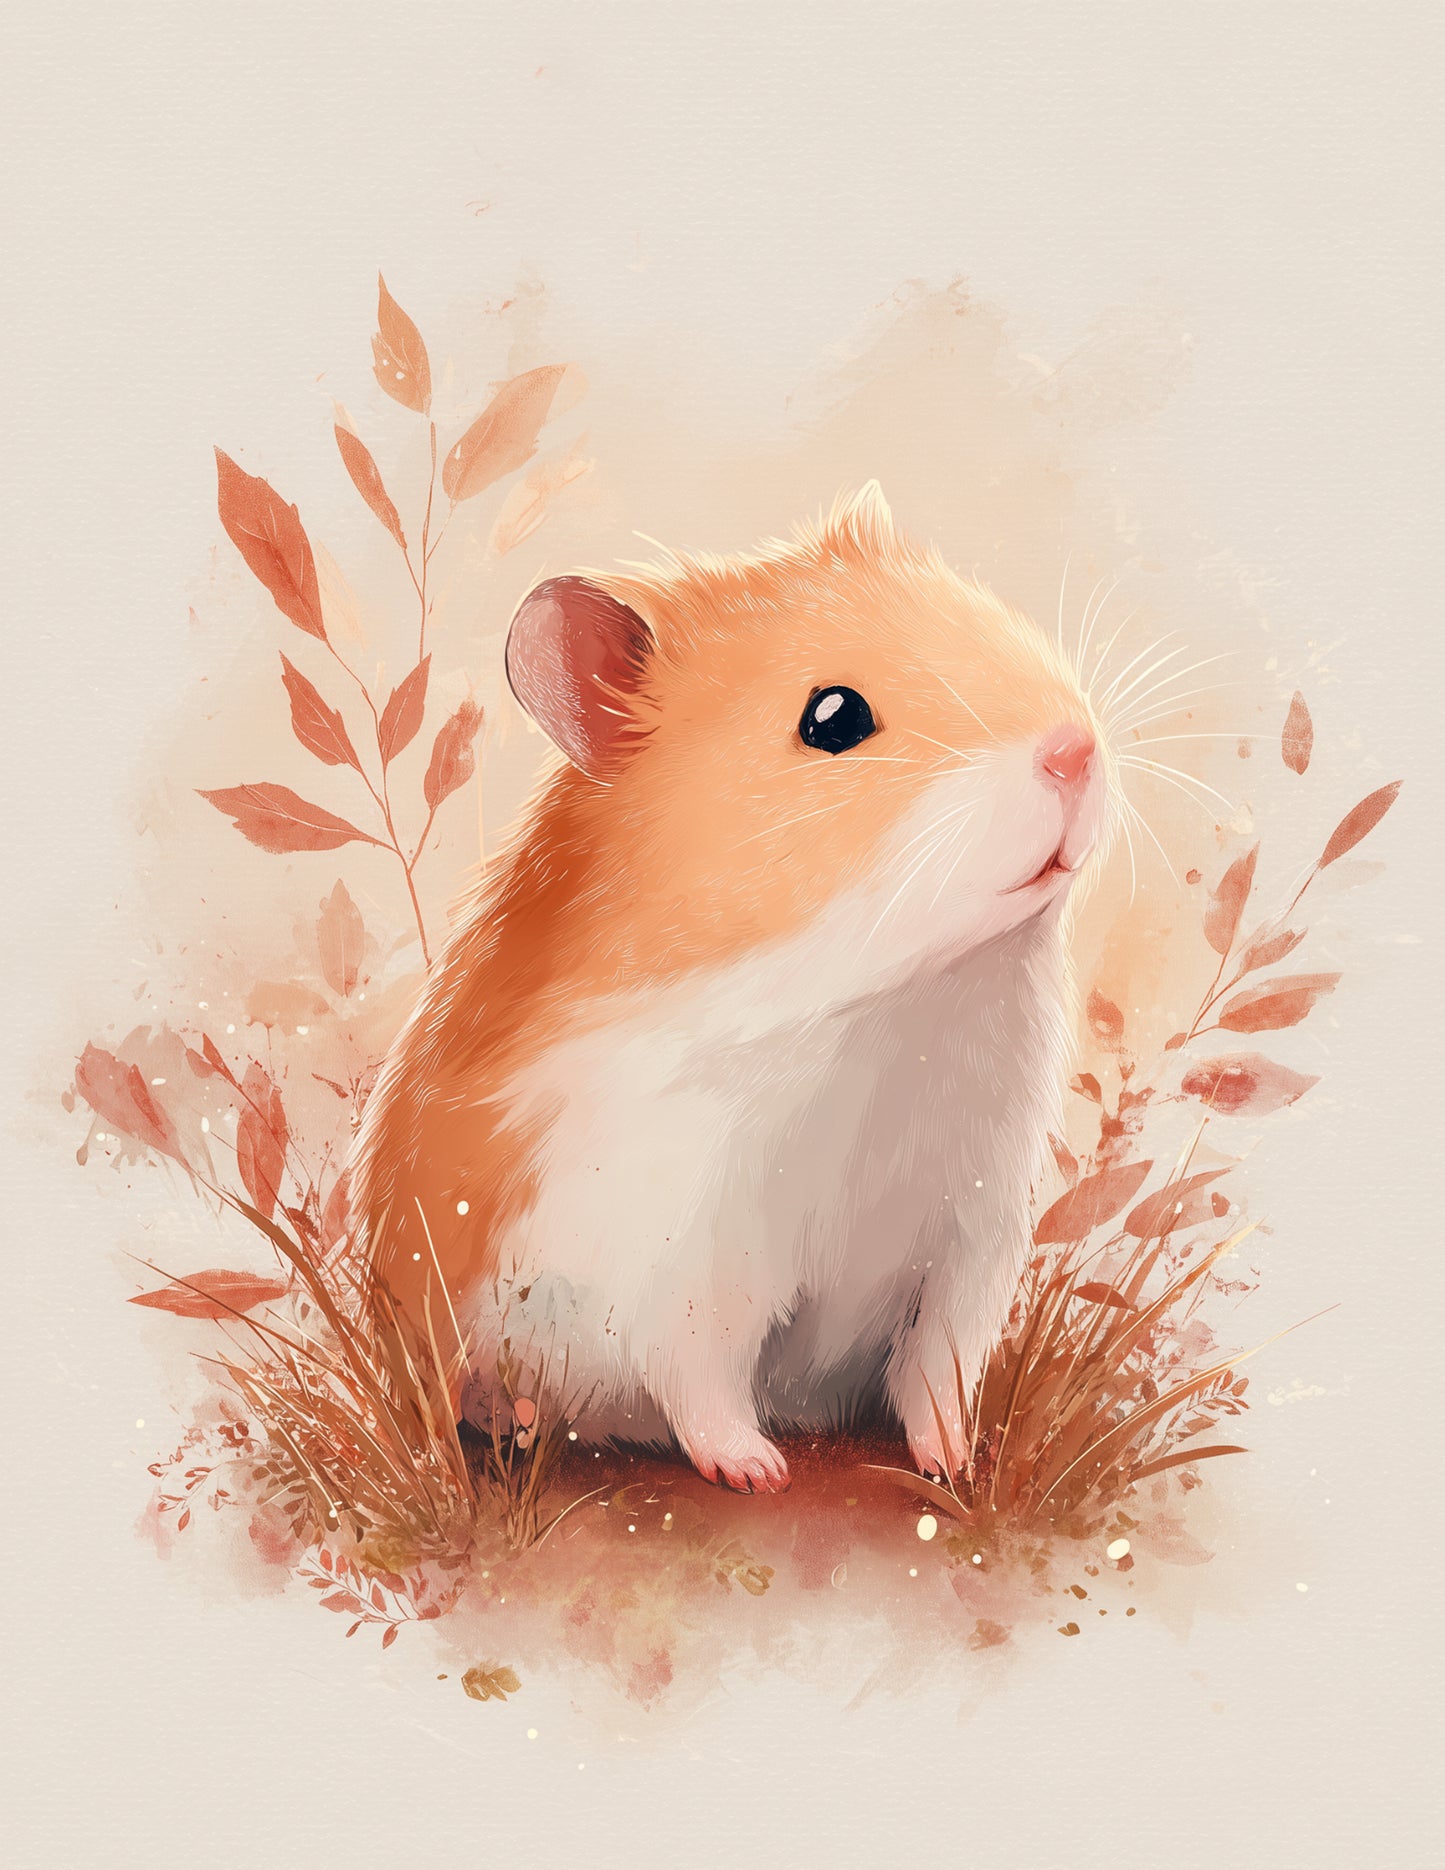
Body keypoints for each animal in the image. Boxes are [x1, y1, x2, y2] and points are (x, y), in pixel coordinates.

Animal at [352, 484, 1113, 1491]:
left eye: (987, 616)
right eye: (831, 718)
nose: (1075, 750)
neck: (893, 1001)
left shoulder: (971, 1239)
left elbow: (937, 1374)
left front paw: (956, 1465)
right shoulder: (683, 1261)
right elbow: (704, 1385)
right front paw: (759, 1472)